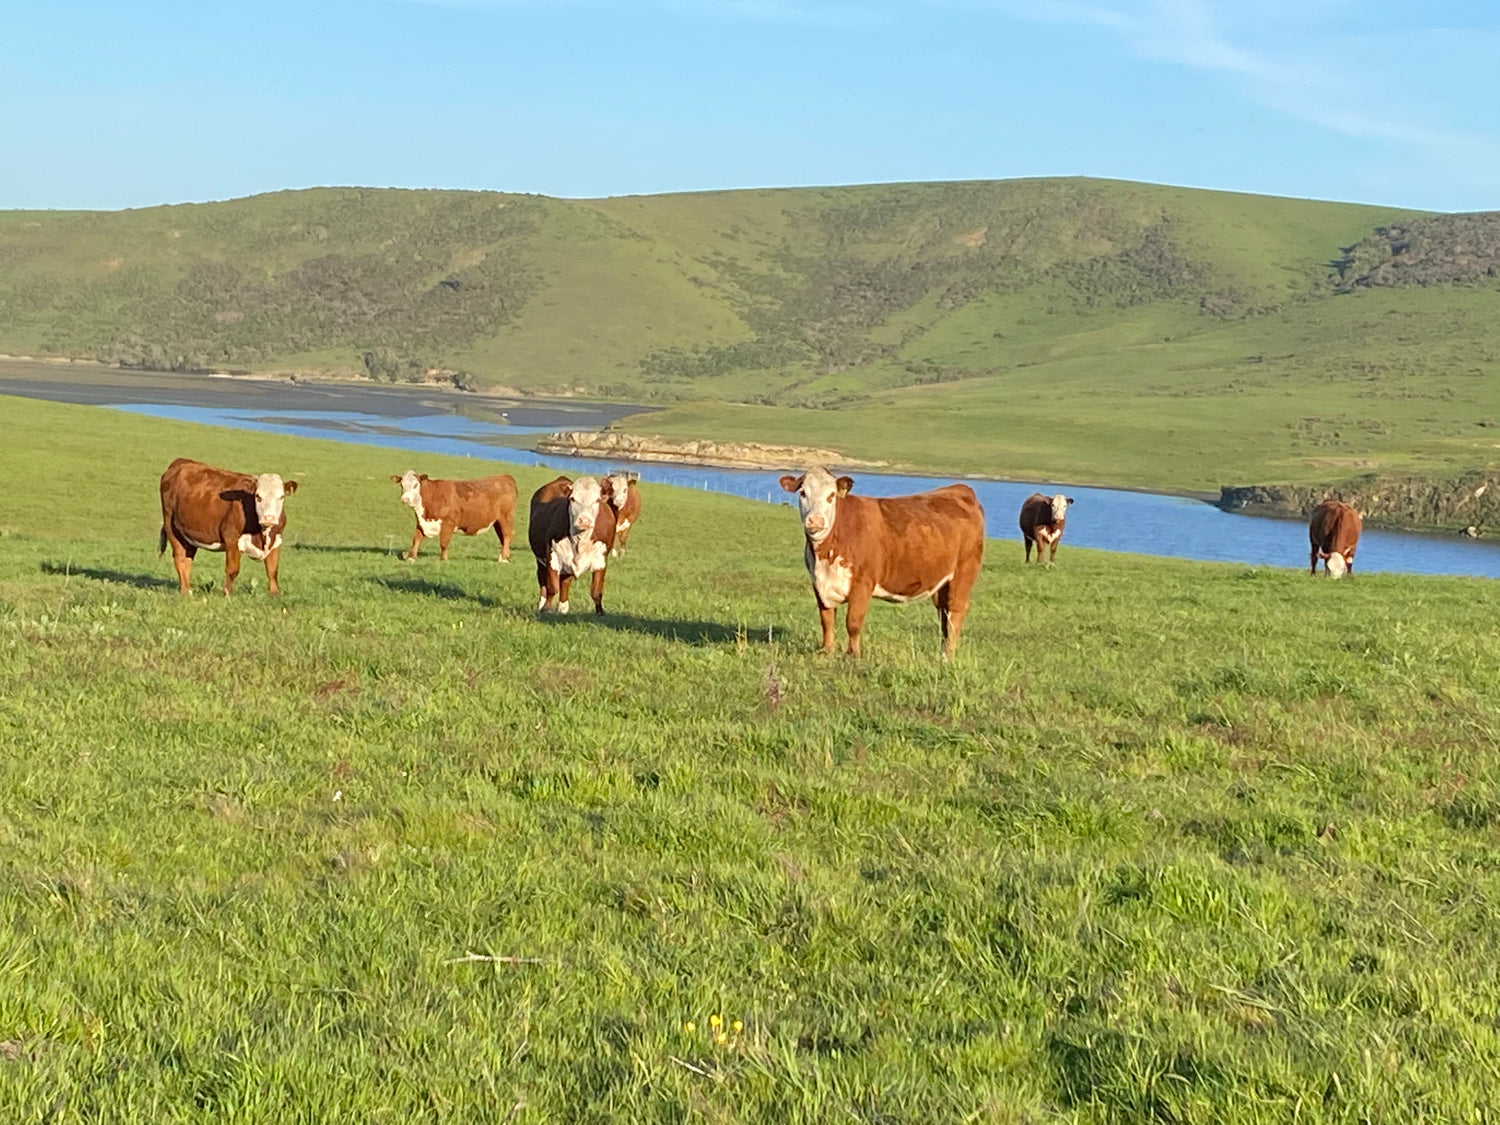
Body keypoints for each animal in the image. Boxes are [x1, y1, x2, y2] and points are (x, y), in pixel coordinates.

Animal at [158, 459, 298, 600]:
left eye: (281, 497)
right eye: (258, 496)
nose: (269, 518)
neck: (261, 536)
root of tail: (180, 461)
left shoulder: (276, 540)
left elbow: (272, 571)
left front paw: (275, 595)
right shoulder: (232, 538)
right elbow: (232, 570)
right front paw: (227, 594)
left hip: (190, 535)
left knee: (187, 560)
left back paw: (188, 590)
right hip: (172, 528)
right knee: (180, 559)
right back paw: (186, 592)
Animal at [390, 471, 519, 564]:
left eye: (416, 485)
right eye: (402, 485)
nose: (405, 499)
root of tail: (505, 477)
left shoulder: (448, 523)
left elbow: (443, 543)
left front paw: (443, 559)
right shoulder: (421, 523)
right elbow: (416, 539)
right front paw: (411, 557)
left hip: (506, 517)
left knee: (507, 535)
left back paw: (503, 559)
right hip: (497, 522)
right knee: (503, 538)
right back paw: (506, 556)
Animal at [531, 477, 618, 618]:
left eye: (597, 500)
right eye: (572, 499)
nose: (585, 520)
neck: (580, 539)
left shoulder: (600, 558)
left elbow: (596, 591)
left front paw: (600, 614)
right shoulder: (552, 555)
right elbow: (552, 587)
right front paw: (545, 609)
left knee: (565, 582)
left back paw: (563, 609)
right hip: (541, 560)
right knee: (542, 580)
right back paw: (542, 605)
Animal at [774, 468, 984, 660]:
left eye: (831, 496)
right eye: (803, 493)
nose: (816, 520)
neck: (825, 555)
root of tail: (959, 488)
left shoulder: (862, 582)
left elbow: (853, 622)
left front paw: (853, 655)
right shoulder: (818, 583)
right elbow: (826, 620)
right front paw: (827, 651)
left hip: (964, 572)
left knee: (955, 612)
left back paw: (948, 655)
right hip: (942, 584)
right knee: (944, 615)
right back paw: (942, 651)